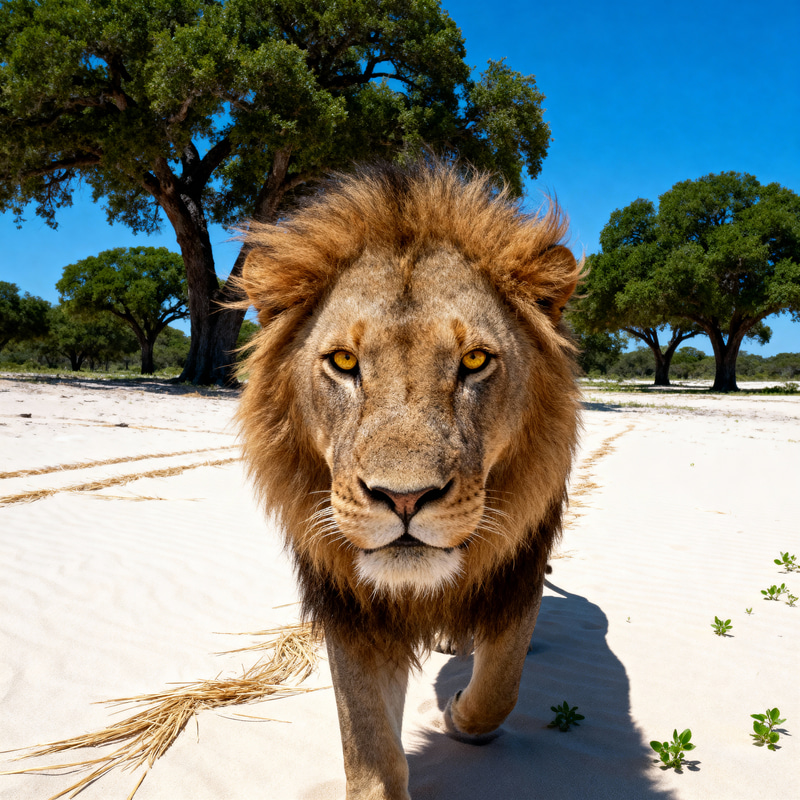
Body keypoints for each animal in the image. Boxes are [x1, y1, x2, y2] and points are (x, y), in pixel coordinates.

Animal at [236, 162, 581, 800]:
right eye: (344, 362)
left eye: (475, 361)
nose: (404, 498)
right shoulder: (352, 611)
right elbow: (369, 752)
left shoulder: (518, 578)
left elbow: (499, 689)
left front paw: (457, 716)